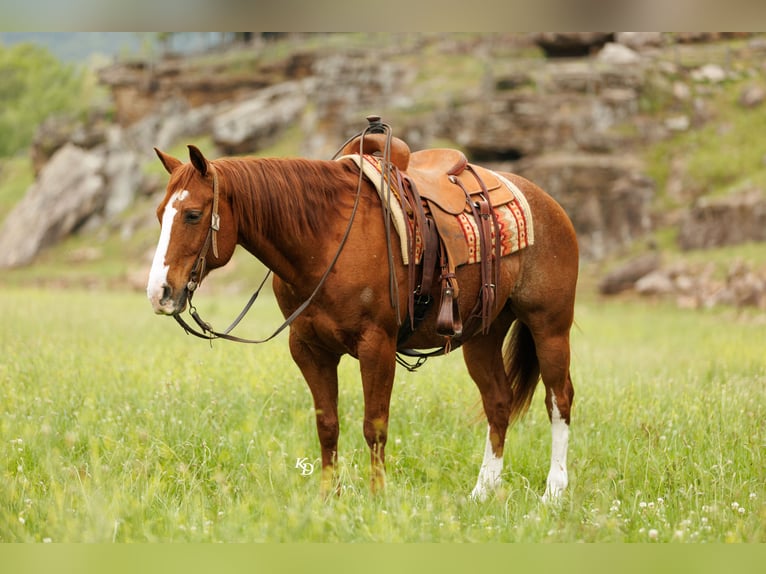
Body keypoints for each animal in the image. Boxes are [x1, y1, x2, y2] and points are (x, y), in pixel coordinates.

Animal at [146, 135, 578, 502]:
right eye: (160, 215)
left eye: (193, 214)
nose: (159, 292)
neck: (326, 238)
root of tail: (547, 203)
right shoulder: (308, 348)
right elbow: (327, 425)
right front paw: (329, 497)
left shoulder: (377, 345)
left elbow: (375, 424)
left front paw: (377, 496)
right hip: (482, 334)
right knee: (498, 402)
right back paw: (482, 491)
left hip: (549, 326)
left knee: (559, 399)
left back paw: (553, 493)